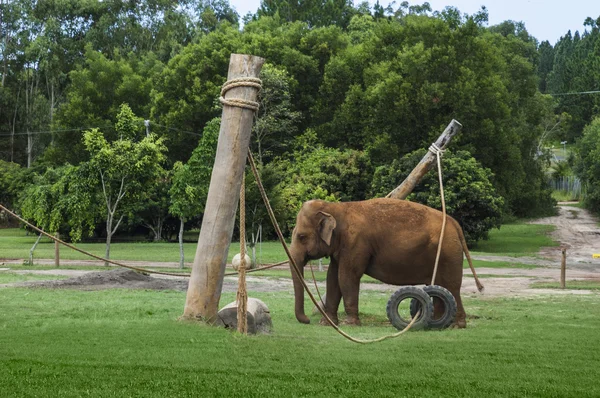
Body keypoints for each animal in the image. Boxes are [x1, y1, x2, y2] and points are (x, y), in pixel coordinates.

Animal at [288, 197, 482, 328]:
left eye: (302, 236)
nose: (306, 320)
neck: (336, 207)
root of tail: (454, 223)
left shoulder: (355, 243)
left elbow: (347, 277)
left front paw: (350, 324)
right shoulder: (341, 248)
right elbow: (333, 279)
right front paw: (326, 323)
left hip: (448, 252)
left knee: (451, 286)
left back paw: (456, 325)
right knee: (440, 287)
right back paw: (437, 323)